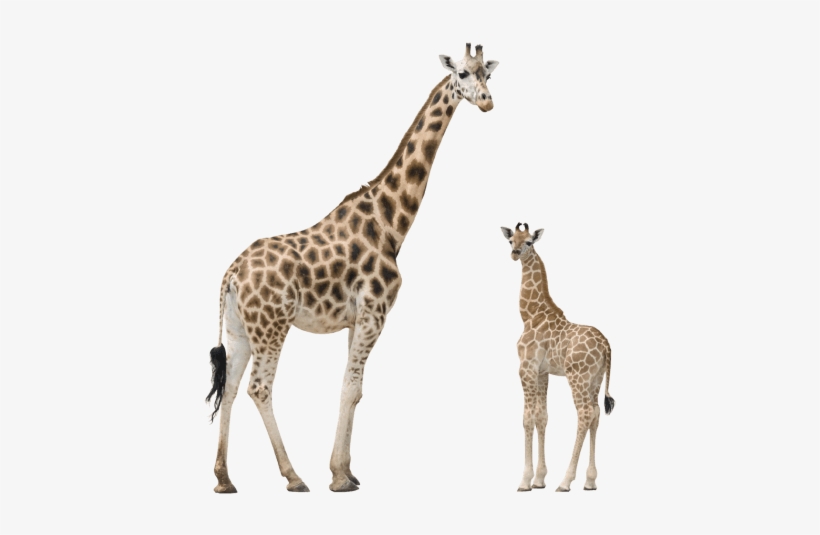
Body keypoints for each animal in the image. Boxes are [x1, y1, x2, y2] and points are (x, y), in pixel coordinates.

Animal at [205, 43, 500, 494]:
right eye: (463, 73)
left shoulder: (355, 319)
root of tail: (231, 274)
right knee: (259, 388)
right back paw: (293, 476)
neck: (391, 223)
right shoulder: (375, 313)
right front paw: (339, 478)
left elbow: (355, 389)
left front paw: (345, 470)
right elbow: (350, 388)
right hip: (272, 326)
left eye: (489, 74)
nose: (486, 102)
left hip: (240, 330)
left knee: (232, 388)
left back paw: (224, 479)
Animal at [500, 222, 615, 492]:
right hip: (595, 379)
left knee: (584, 413)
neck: (530, 314)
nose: (515, 254)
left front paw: (525, 481)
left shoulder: (526, 368)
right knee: (595, 414)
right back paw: (590, 481)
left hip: (578, 376)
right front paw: (539, 479)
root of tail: (606, 345)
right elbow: (542, 417)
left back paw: (565, 481)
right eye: (511, 241)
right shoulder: (543, 372)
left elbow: (527, 417)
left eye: (529, 242)